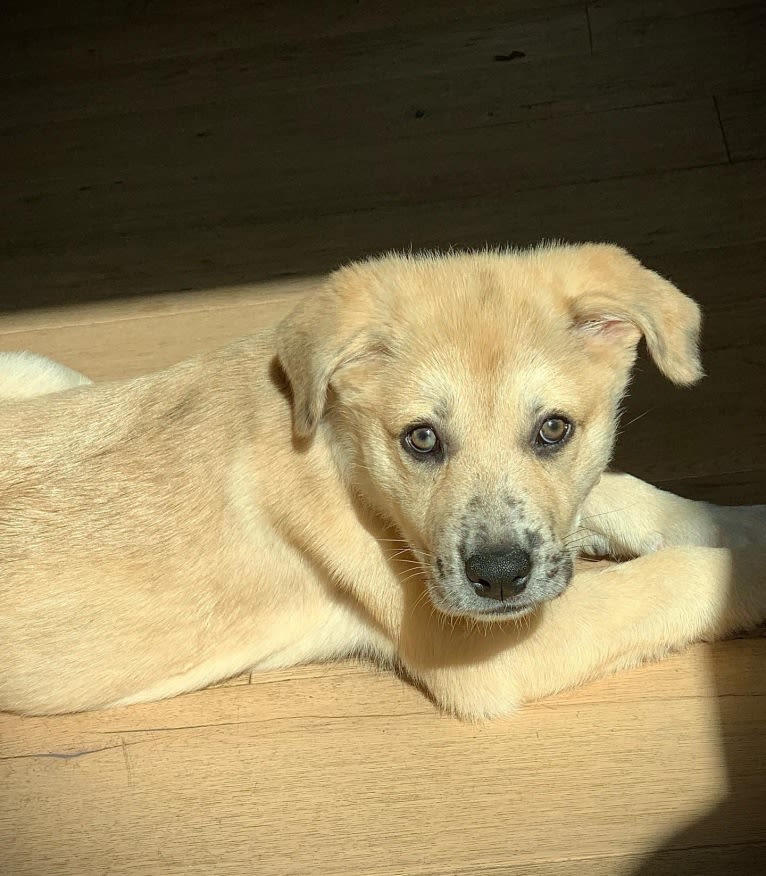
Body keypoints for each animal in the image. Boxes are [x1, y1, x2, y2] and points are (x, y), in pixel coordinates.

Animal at [1, 245, 766, 720]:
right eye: (420, 439)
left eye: (554, 429)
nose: (499, 579)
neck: (343, 454)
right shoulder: (482, 646)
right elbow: (678, 577)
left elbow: (620, 491)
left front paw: (741, 520)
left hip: (32, 367)